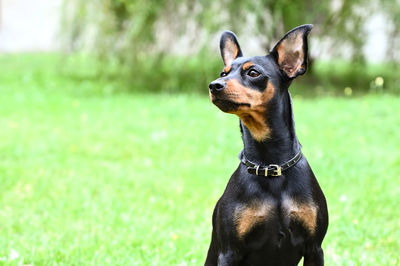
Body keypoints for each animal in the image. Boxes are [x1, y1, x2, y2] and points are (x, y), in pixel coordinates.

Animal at [205, 24, 330, 264]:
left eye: (253, 73)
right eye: (223, 73)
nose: (214, 85)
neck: (270, 166)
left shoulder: (314, 248)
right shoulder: (229, 251)